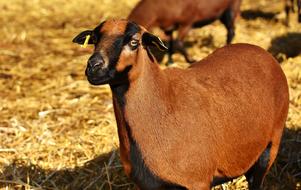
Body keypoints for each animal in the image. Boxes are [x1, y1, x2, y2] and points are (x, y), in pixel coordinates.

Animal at [72, 18, 288, 189]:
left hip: (270, 144)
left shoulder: (197, 182)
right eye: (94, 40)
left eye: (134, 42)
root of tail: (259, 50)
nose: (93, 66)